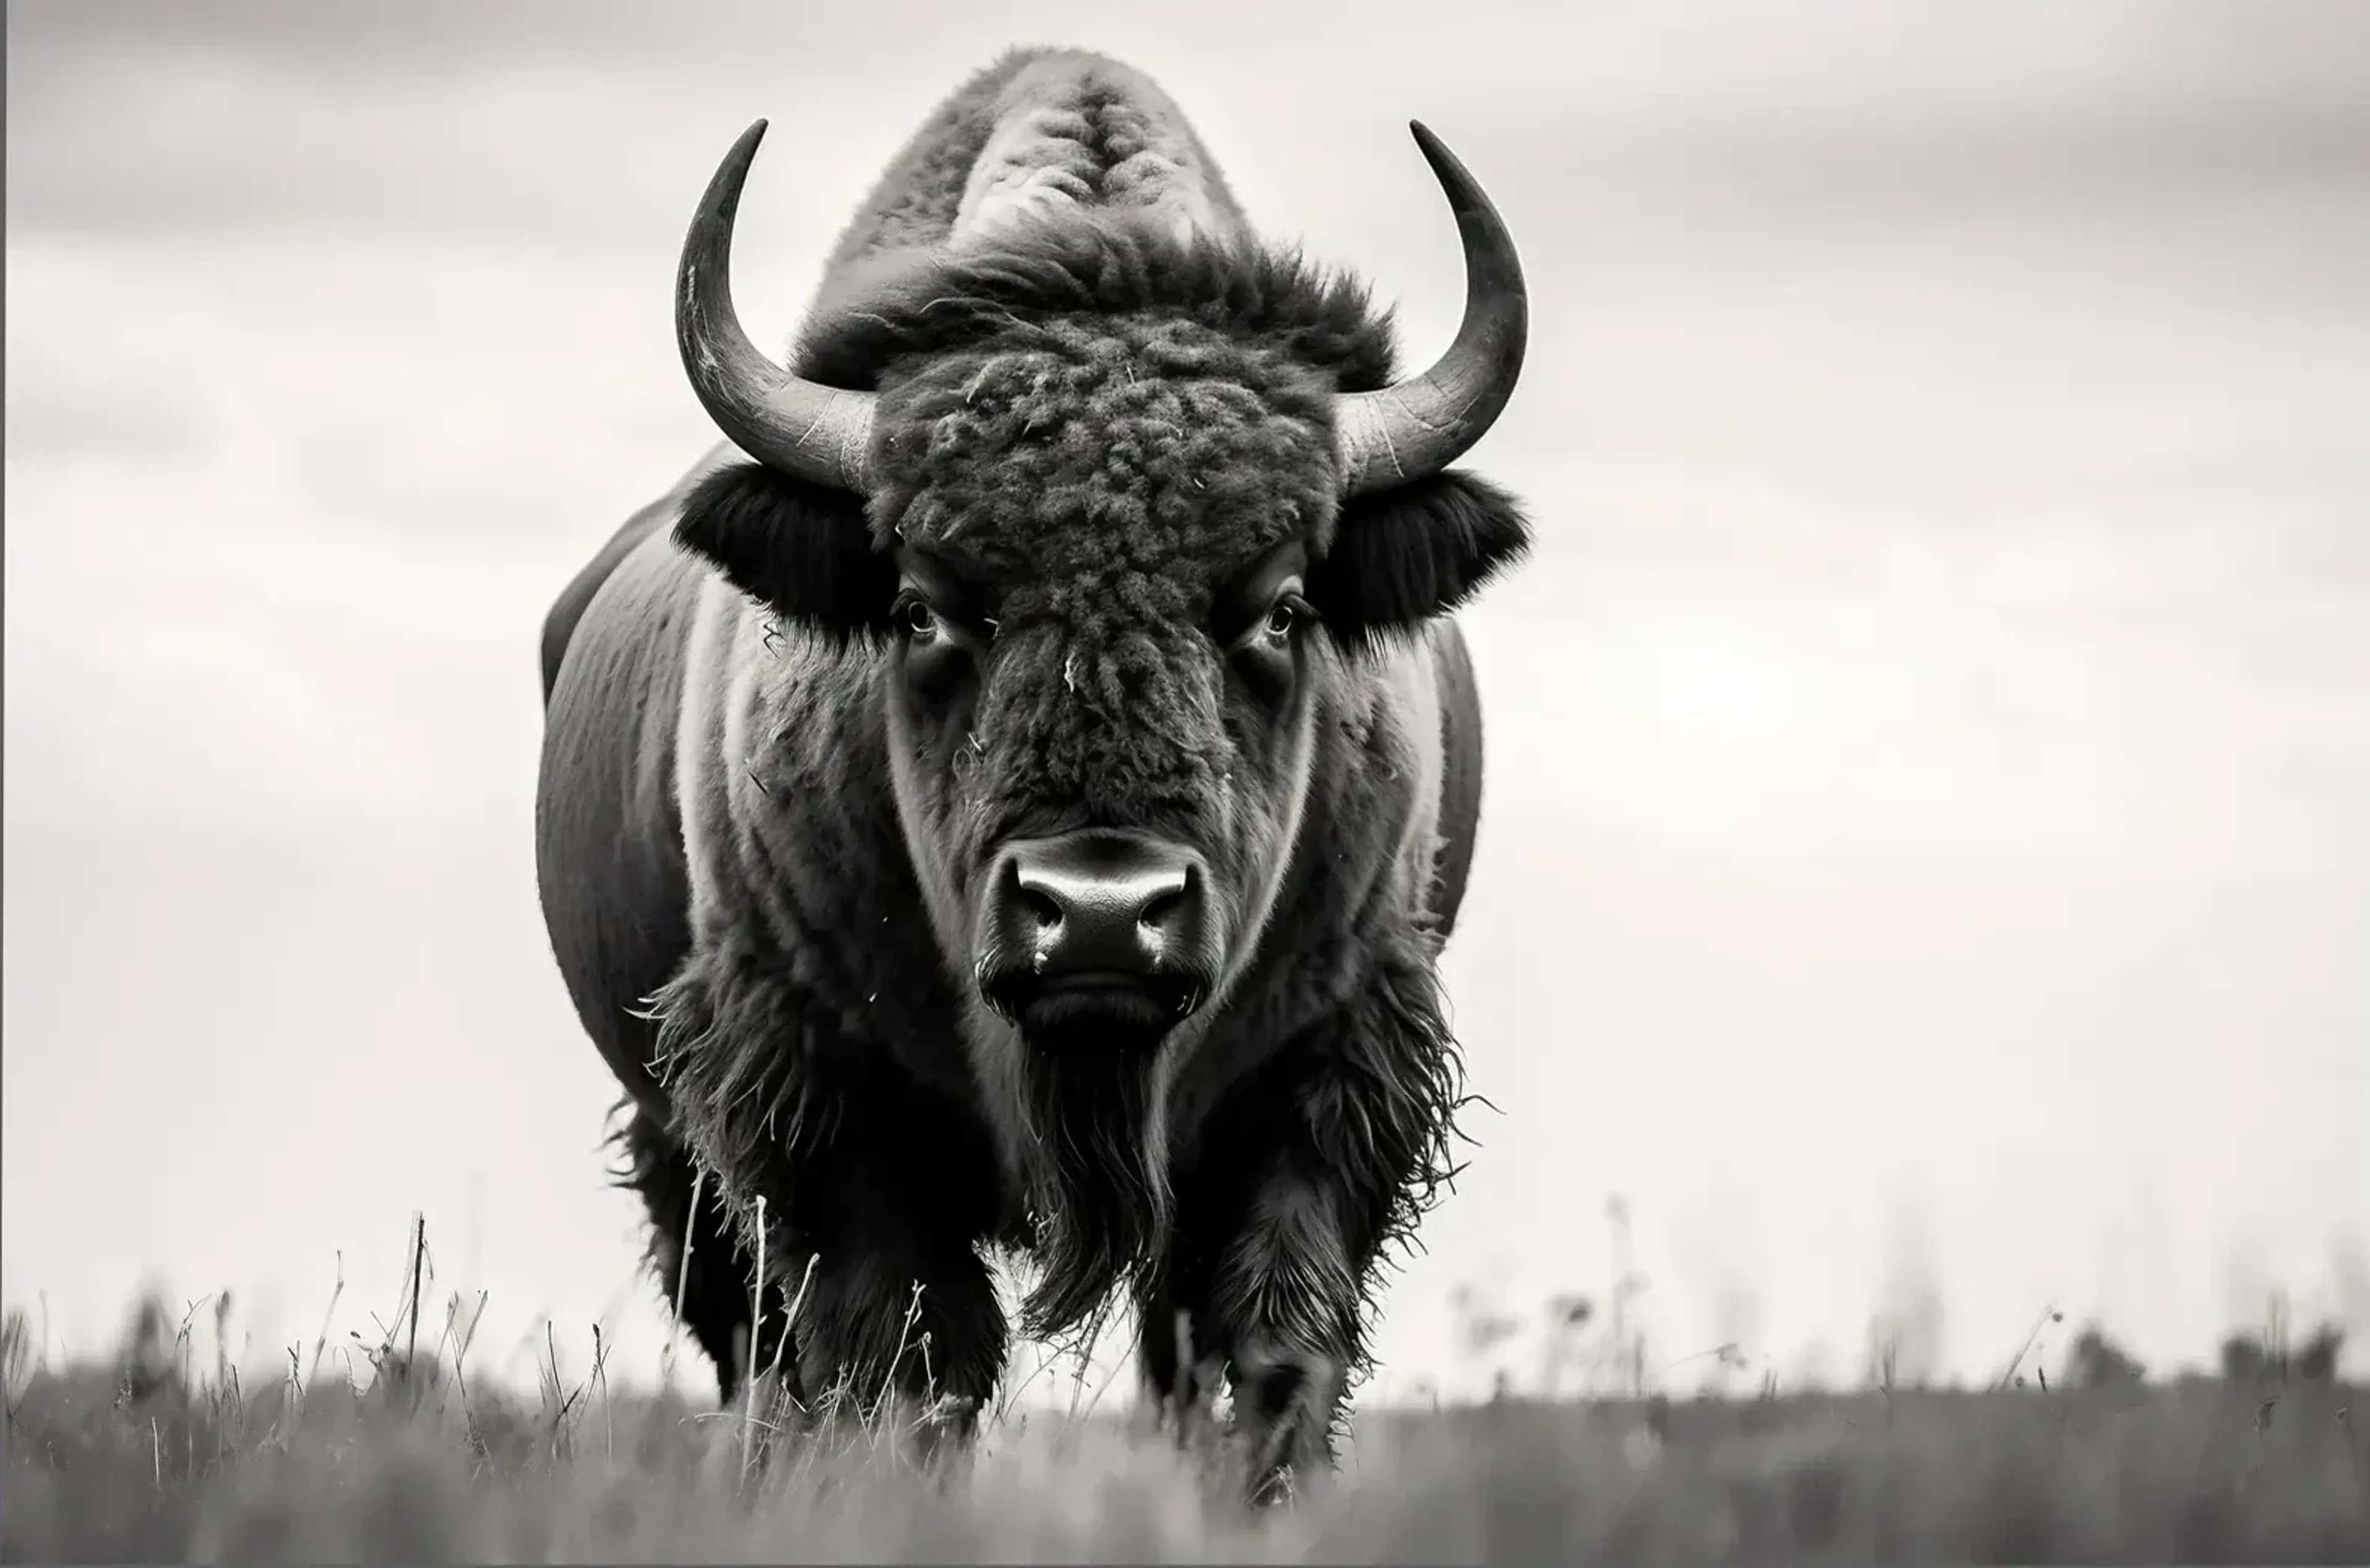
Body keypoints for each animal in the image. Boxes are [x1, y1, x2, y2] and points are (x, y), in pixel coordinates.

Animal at [535, 46, 1531, 1494]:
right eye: (922, 606)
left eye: (1283, 605)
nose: (1103, 913)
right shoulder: (814, 1087)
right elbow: (899, 1349)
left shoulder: (1331, 1071)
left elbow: (1272, 1341)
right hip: (674, 1135)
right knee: (749, 1339)